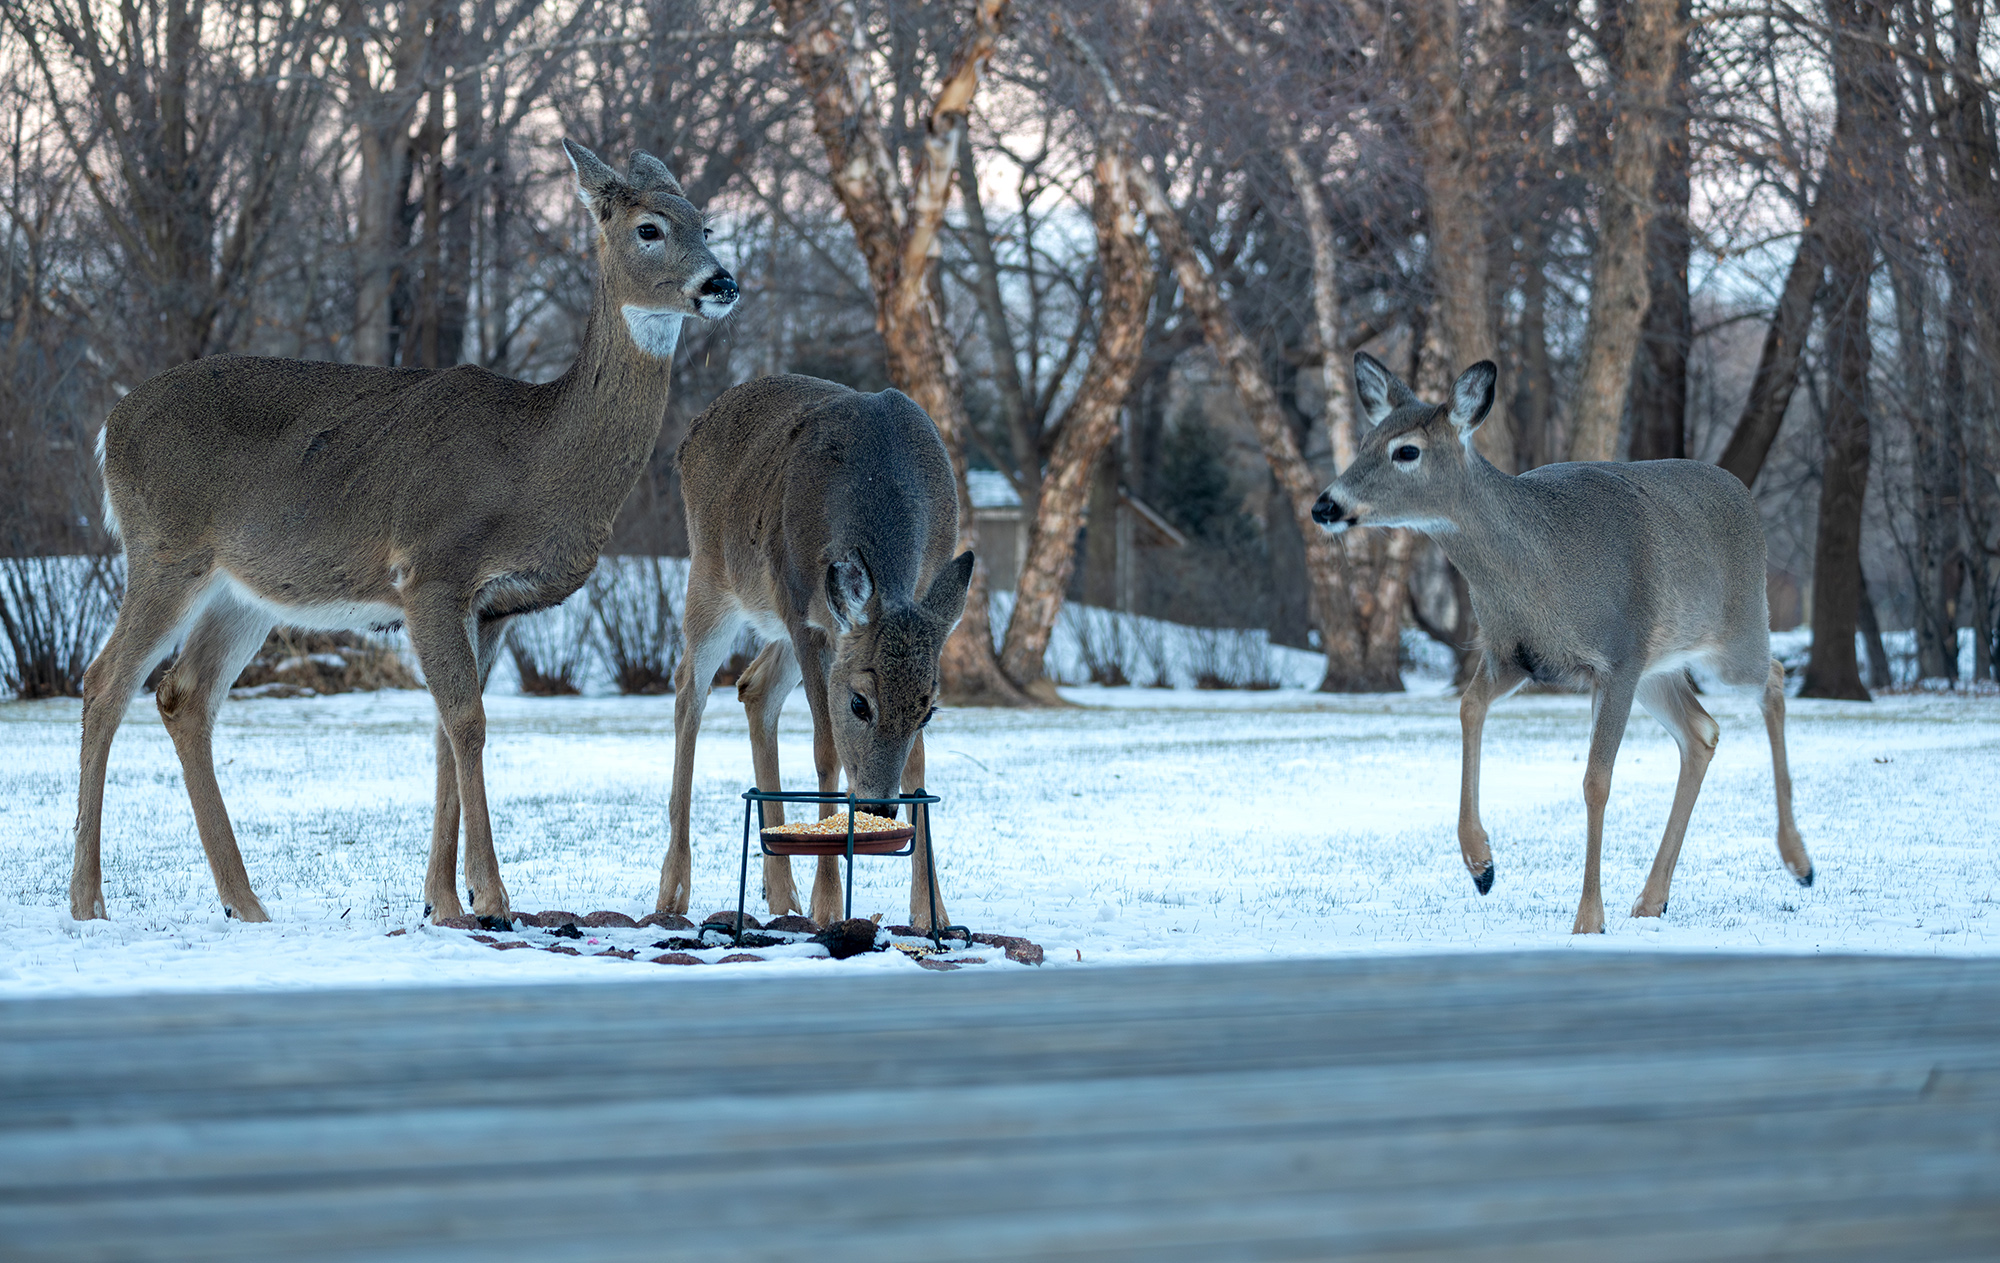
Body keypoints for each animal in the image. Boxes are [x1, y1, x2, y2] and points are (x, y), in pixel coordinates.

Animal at [70, 142, 748, 927]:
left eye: (704, 223)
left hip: (243, 592)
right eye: (649, 228)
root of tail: (109, 428)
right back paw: (88, 899)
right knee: (105, 681)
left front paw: (443, 901)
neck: (533, 457)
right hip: (164, 550)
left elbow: (444, 734)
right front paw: (491, 894)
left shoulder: (493, 606)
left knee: (184, 696)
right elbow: (467, 721)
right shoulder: (431, 570)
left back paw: (246, 902)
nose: (722, 282)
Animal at [668, 375, 972, 927]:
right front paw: (828, 904)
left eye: (927, 712)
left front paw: (932, 911)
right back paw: (674, 889)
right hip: (712, 577)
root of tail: (692, 433)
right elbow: (825, 749)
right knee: (688, 692)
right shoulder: (805, 617)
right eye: (859, 702)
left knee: (754, 687)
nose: (879, 808)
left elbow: (917, 765)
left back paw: (781, 895)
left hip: (781, 623)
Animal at [1312, 349, 1816, 931]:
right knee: (1702, 732)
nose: (1324, 506)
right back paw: (1652, 899)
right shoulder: (1513, 654)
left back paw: (1799, 863)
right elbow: (1468, 707)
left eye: (1406, 450)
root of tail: (1743, 494)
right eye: (1365, 443)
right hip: (1659, 667)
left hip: (1731, 637)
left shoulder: (1616, 658)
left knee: (1773, 678)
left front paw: (1588, 918)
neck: (1539, 569)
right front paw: (1481, 864)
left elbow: (1596, 781)